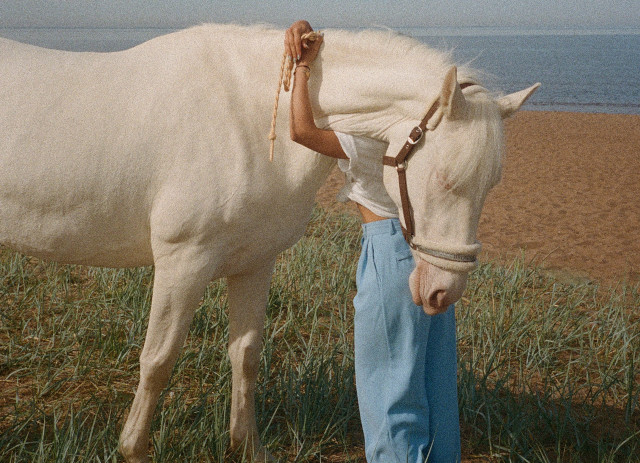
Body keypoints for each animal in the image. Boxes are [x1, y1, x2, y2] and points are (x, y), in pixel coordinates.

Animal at [0, 23, 540, 462]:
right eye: (446, 179)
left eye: (491, 184)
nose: (442, 291)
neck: (251, 115)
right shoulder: (183, 262)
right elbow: (157, 360)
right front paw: (133, 449)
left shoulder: (255, 263)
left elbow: (246, 355)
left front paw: (247, 446)